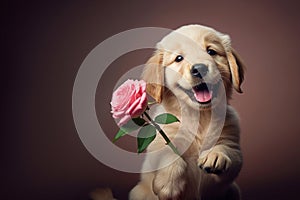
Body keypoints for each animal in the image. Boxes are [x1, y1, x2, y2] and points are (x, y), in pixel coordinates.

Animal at [129, 25, 246, 200]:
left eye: (211, 51)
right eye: (179, 58)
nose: (199, 68)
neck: (200, 116)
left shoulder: (232, 142)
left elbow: (229, 151)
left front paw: (215, 155)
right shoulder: (160, 140)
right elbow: (168, 154)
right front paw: (169, 185)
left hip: (233, 191)